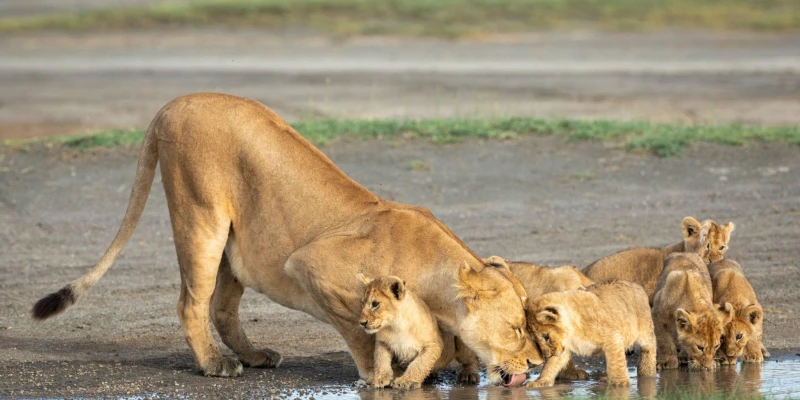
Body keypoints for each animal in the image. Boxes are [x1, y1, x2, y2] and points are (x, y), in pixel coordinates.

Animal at [30, 93, 542, 381]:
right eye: (516, 328)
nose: (538, 364)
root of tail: (173, 103)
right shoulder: (312, 265)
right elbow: (360, 332)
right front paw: (378, 375)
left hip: (234, 245)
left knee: (221, 307)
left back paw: (254, 356)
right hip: (201, 217)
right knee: (191, 303)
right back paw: (216, 365)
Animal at [525, 280, 657, 387]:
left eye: (546, 337)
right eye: (536, 340)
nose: (547, 355)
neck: (573, 329)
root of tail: (636, 284)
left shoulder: (612, 338)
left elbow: (616, 362)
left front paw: (620, 383)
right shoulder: (563, 348)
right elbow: (550, 366)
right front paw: (540, 382)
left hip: (645, 331)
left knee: (650, 348)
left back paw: (647, 372)